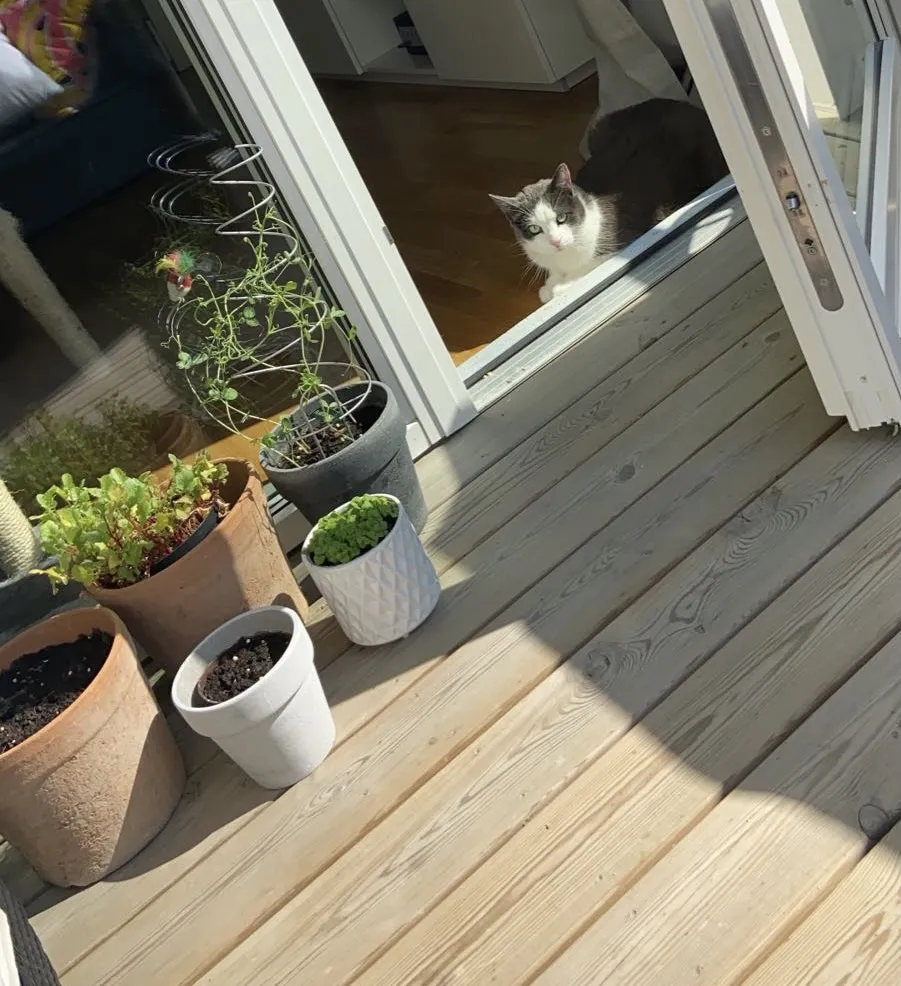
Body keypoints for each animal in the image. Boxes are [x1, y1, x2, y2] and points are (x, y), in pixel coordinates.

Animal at [488, 98, 728, 304]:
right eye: (534, 229)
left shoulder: (622, 239)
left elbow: (590, 266)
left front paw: (560, 287)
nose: (555, 242)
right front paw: (551, 284)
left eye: (562, 217)